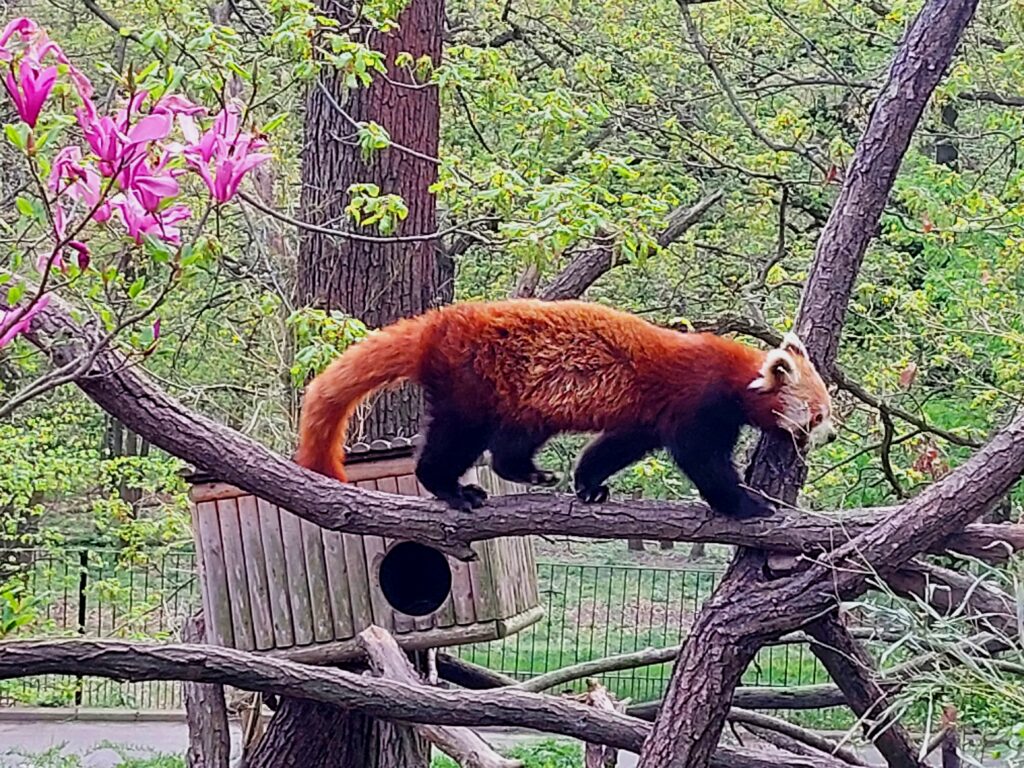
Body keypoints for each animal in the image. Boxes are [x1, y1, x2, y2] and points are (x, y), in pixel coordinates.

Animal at [292, 299, 835, 518]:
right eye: (819, 415)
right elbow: (703, 463)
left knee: (509, 445)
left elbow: (614, 446)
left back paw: (529, 473)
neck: (733, 374)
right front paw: (748, 505)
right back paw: (450, 488)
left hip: (525, 401)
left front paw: (587, 483)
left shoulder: (646, 416)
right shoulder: (695, 403)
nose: (829, 436)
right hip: (472, 386)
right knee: (454, 440)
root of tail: (436, 326)